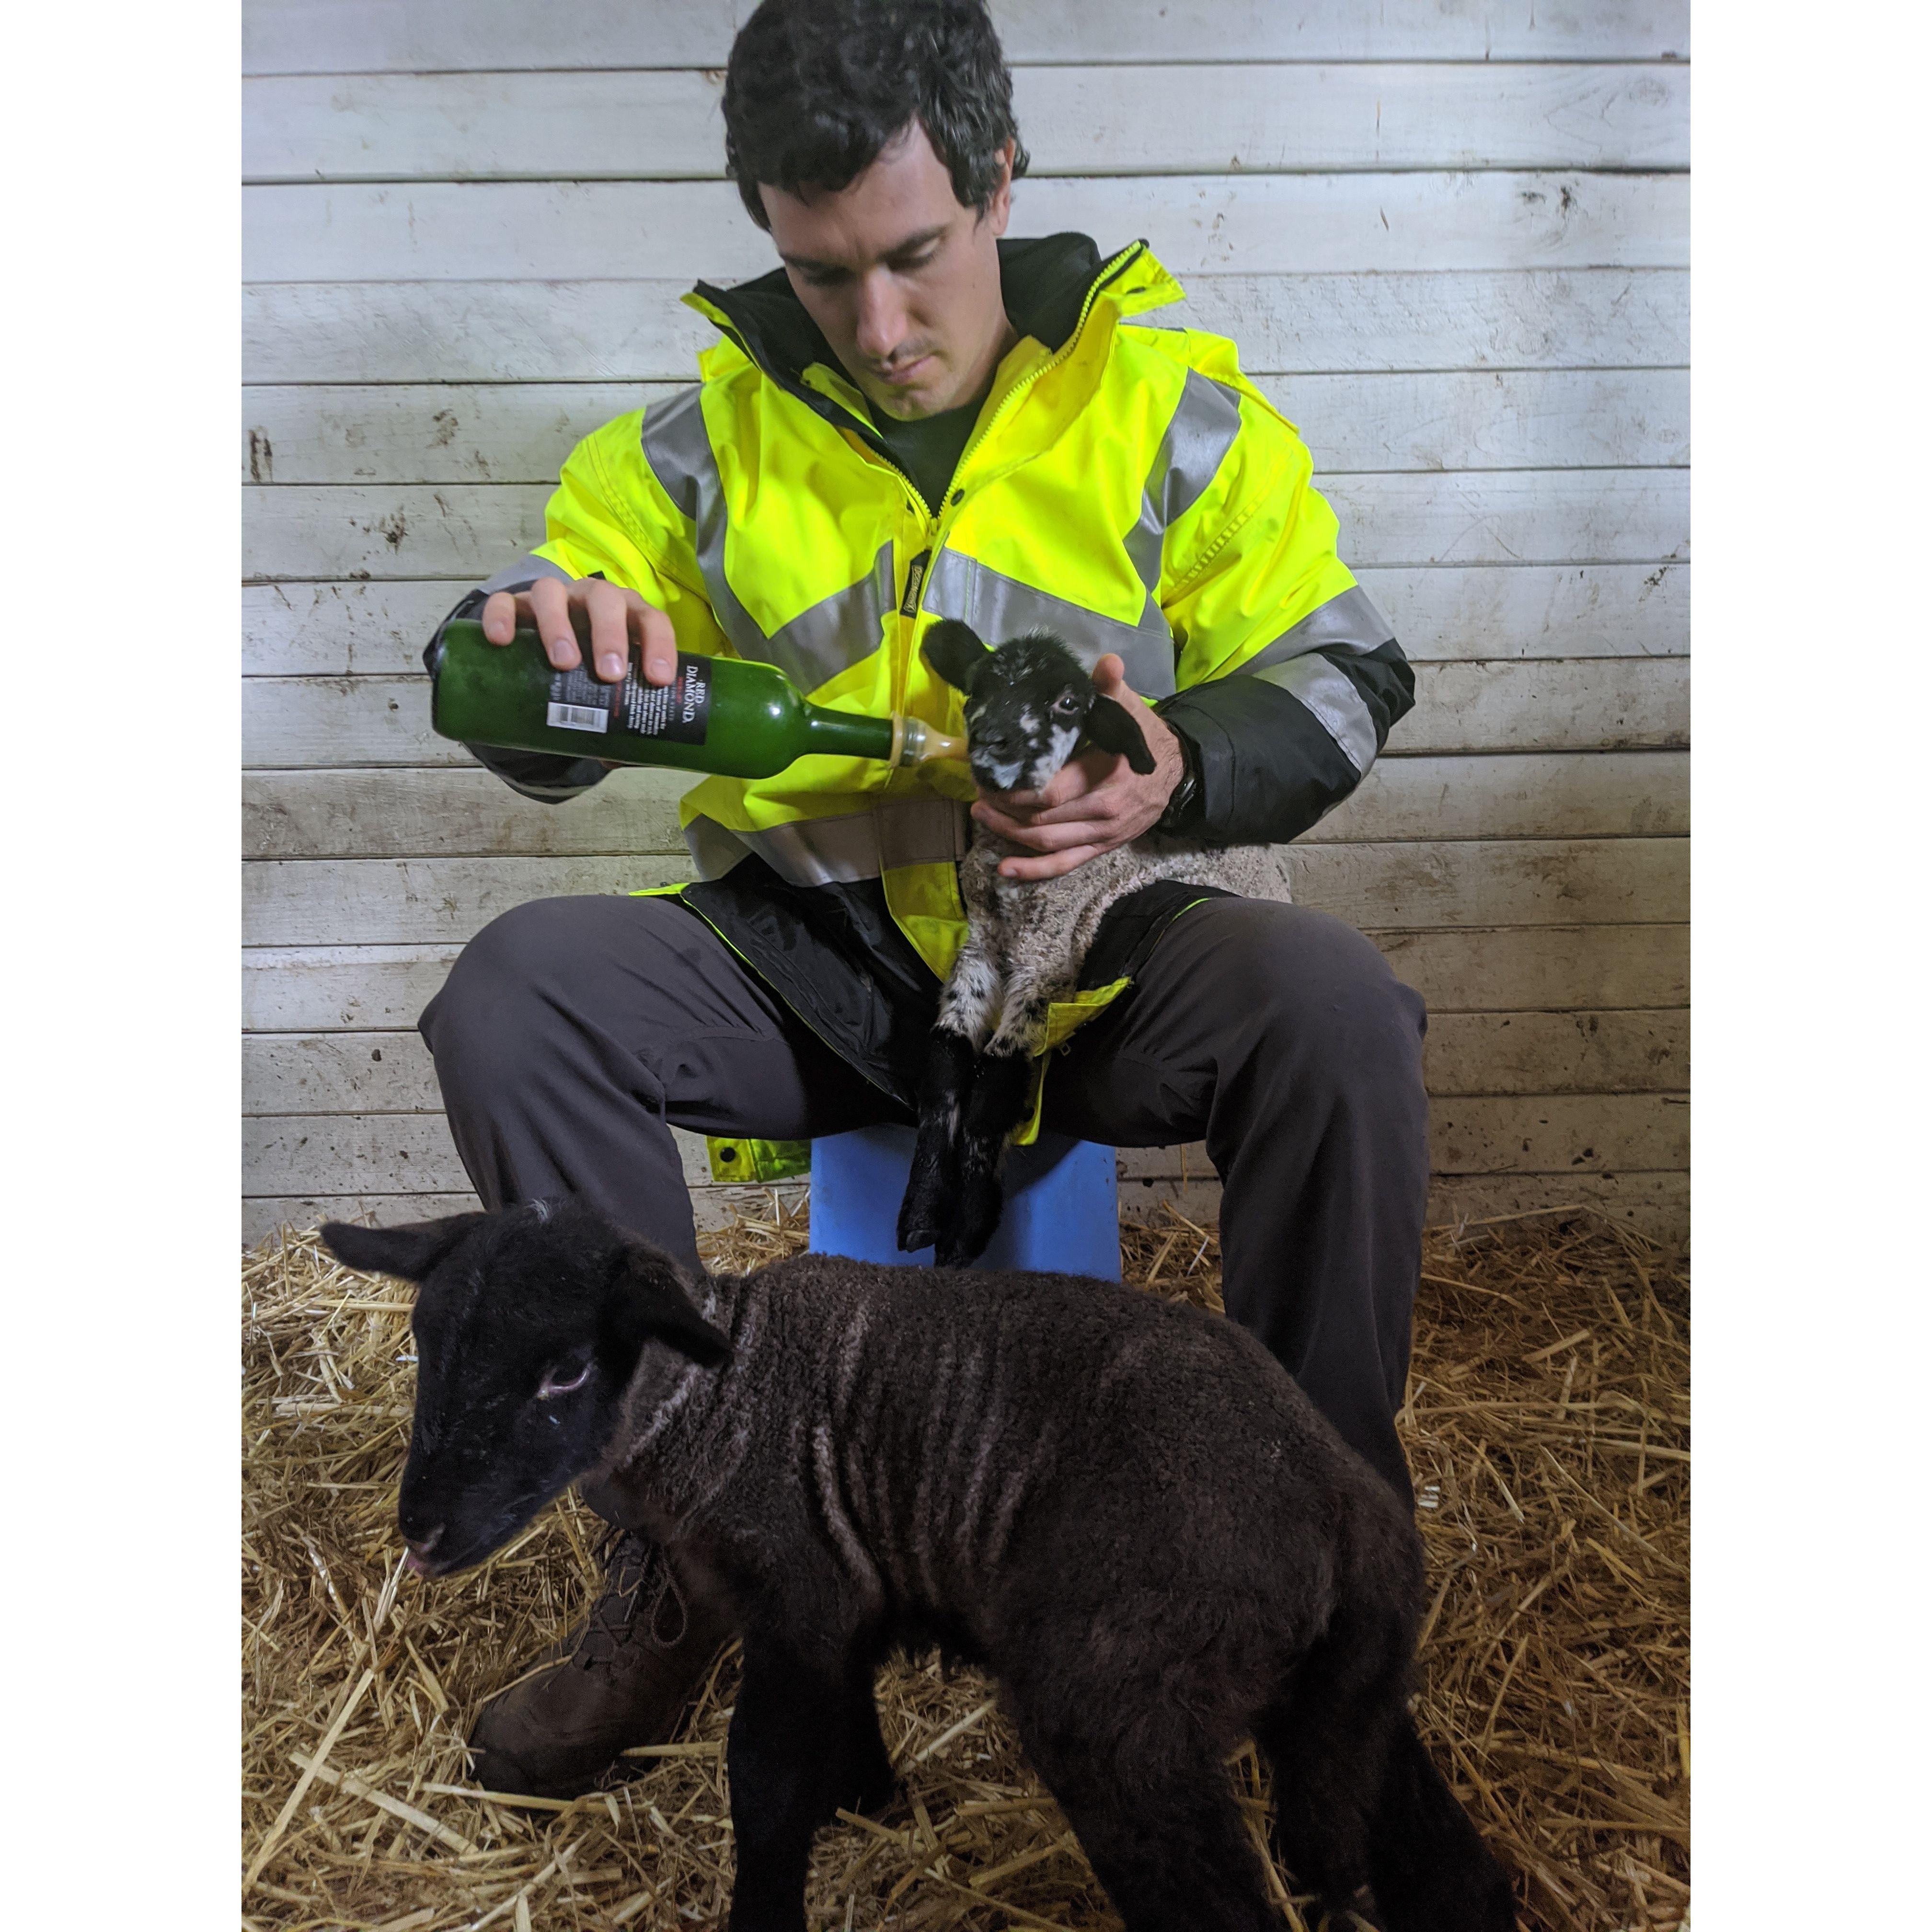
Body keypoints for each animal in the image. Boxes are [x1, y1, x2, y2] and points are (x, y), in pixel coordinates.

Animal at [319, 1199, 1518, 1932]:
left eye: (565, 1370)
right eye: (426, 1345)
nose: (422, 1532)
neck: (709, 1404)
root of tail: (1339, 1506)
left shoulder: (798, 1600)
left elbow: (763, 1778)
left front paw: (771, 1905)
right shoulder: (841, 1600)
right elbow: (844, 1726)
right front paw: (877, 1803)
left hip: (1122, 1701)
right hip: (1338, 1698)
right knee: (1419, 1853)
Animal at [899, 618, 1292, 1264]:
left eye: (1068, 704)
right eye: (978, 685)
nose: (994, 741)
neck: (1011, 885)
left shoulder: (1048, 960)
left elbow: (994, 1088)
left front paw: (968, 1229)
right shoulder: (980, 948)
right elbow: (943, 1066)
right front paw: (922, 1211)